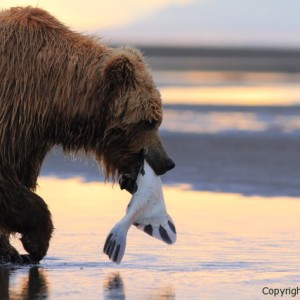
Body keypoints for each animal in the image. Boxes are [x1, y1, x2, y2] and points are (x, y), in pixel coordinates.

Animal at [0, 7, 175, 264]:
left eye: (158, 119)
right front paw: (34, 242)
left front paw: (13, 250)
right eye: (147, 122)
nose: (166, 162)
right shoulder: (12, 107)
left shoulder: (28, 136)